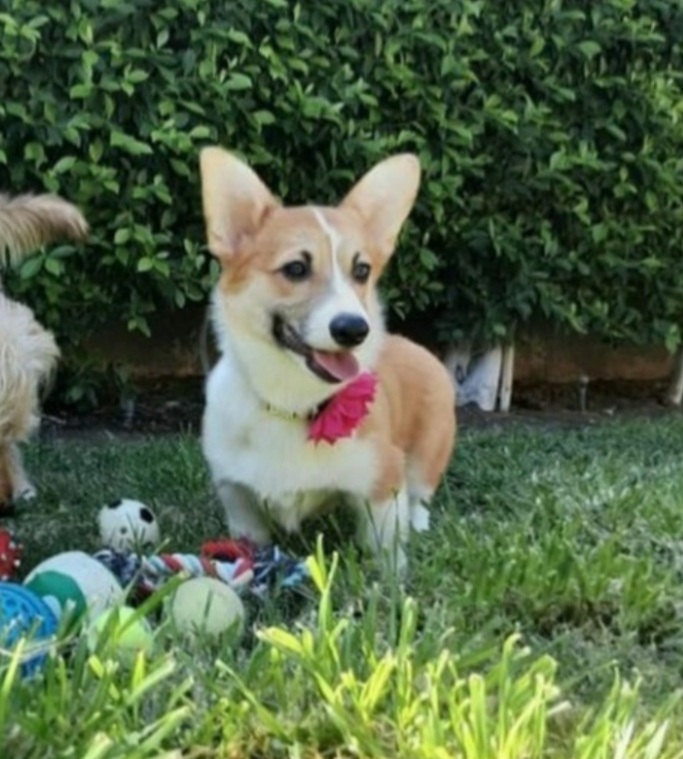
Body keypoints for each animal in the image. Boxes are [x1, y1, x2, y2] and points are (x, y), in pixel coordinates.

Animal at [199, 148, 454, 568]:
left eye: (362, 270)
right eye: (296, 268)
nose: (354, 329)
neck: (292, 402)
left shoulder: (384, 484)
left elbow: (387, 553)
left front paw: (392, 577)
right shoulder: (236, 494)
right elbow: (249, 537)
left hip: (428, 451)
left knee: (422, 495)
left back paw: (419, 524)